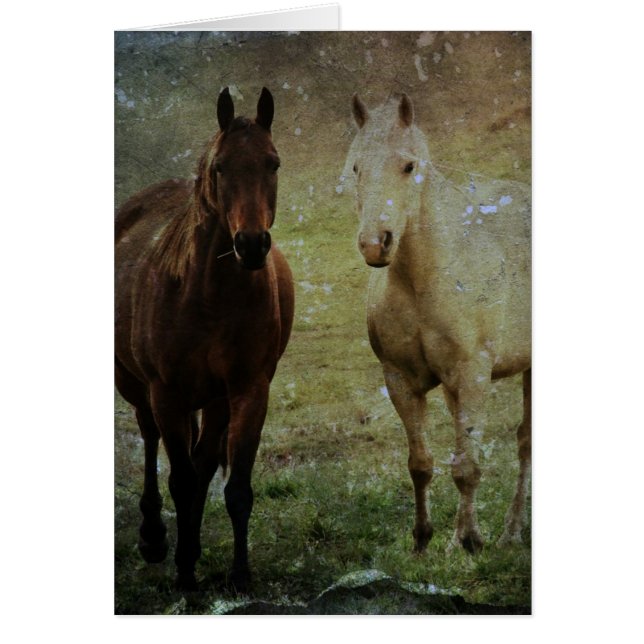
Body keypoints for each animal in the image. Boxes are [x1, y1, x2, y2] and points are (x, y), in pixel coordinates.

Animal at [115, 87, 294, 591]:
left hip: (214, 401)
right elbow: (179, 478)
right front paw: (182, 571)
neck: (209, 295)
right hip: (139, 388)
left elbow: (235, 488)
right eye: (221, 168)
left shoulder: (249, 391)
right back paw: (155, 539)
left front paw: (239, 574)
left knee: (204, 461)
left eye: (273, 163)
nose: (251, 244)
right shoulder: (167, 392)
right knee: (152, 441)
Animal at [345, 93, 531, 554]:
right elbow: (421, 464)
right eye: (356, 167)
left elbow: (466, 467)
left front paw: (470, 541)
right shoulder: (401, 380)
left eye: (409, 166)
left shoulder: (473, 376)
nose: (375, 244)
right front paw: (423, 539)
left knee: (525, 443)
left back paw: (510, 531)